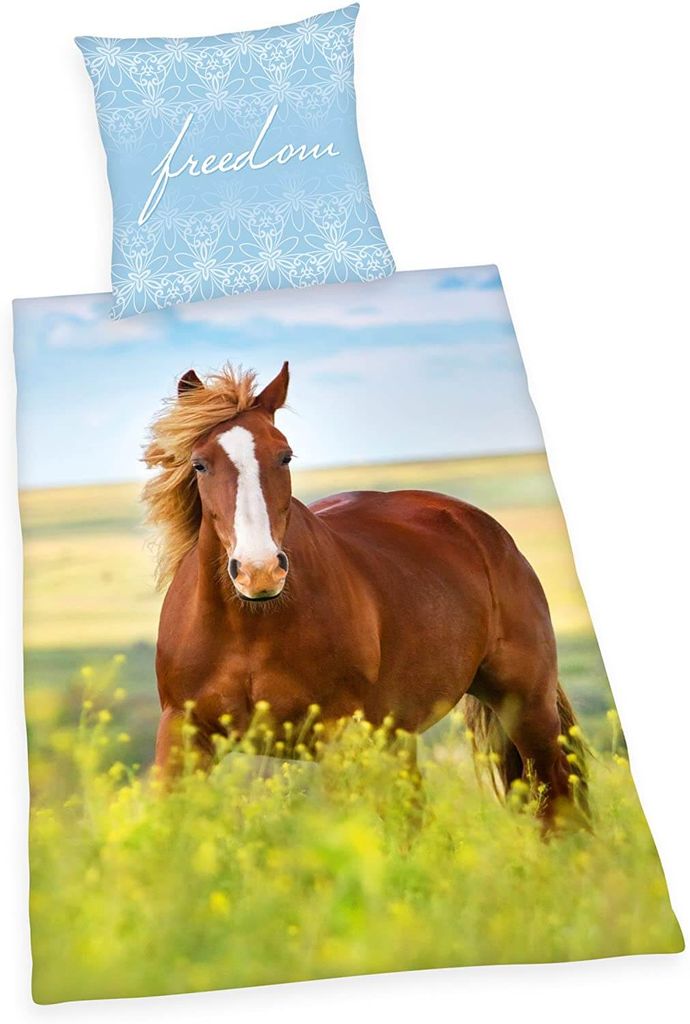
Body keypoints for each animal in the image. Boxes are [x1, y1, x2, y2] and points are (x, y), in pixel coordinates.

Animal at [143, 362, 588, 822]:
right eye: (199, 464)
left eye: (284, 456)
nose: (259, 571)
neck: (250, 627)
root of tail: (479, 526)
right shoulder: (182, 733)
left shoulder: (336, 736)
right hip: (400, 734)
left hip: (527, 707)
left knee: (556, 799)